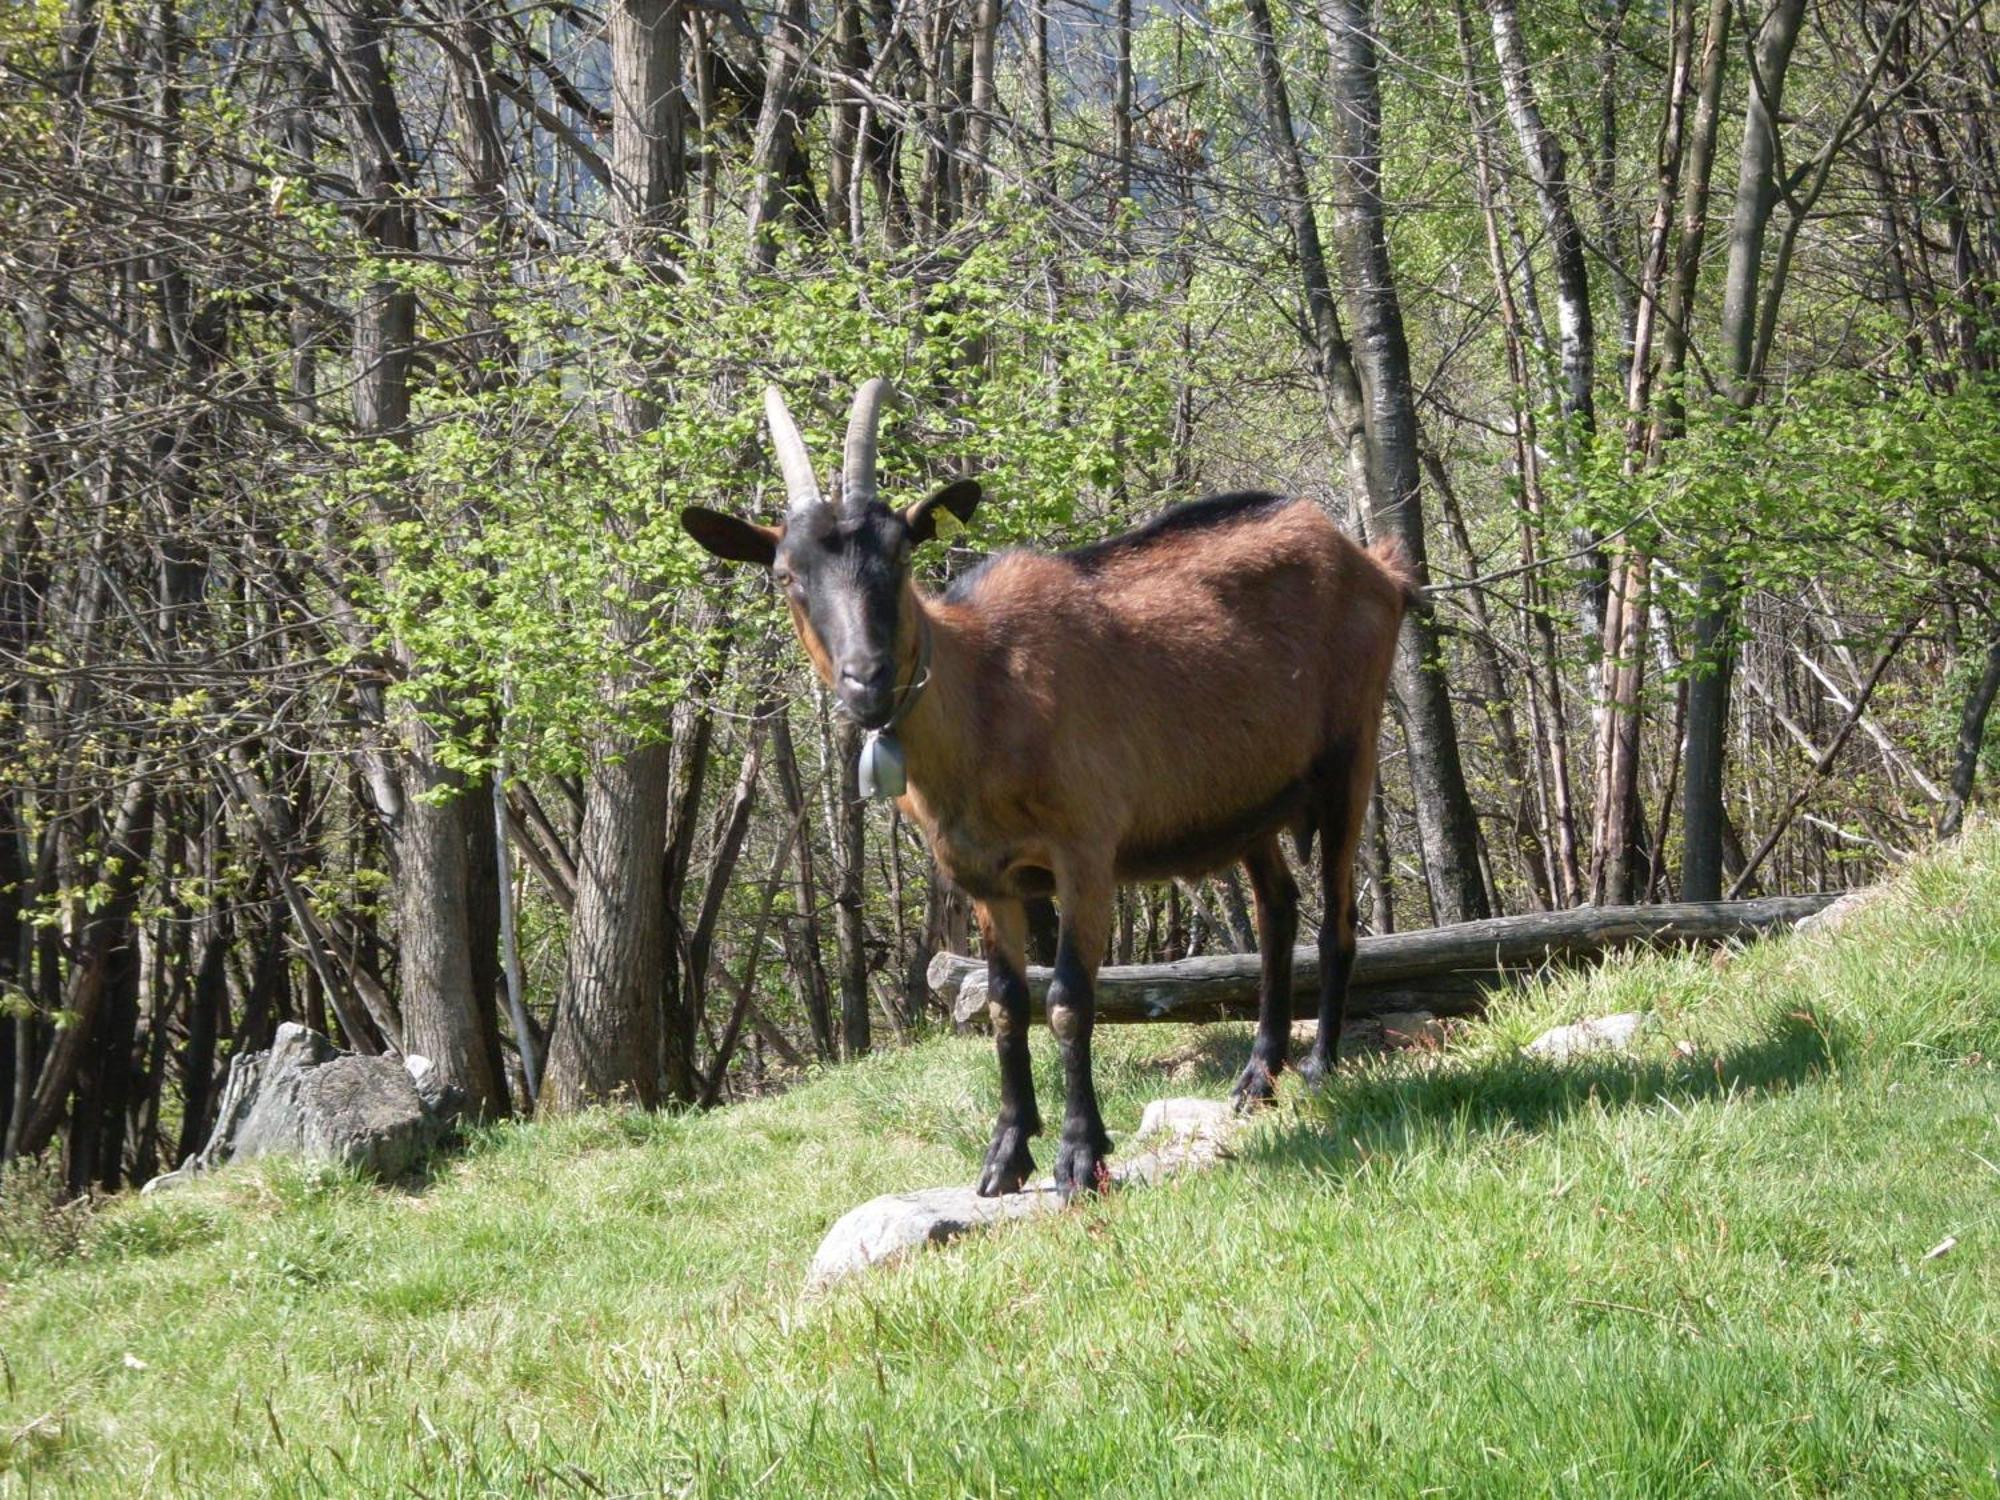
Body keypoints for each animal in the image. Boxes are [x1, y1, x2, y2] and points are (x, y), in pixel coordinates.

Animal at [688, 384, 1408, 1200]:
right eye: (785, 574)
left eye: (900, 554)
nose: (866, 680)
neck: (988, 694)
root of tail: (1375, 566)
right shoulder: (983, 877)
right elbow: (1005, 1006)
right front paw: (1005, 1154)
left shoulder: (1085, 853)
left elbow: (1067, 1000)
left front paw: (1079, 1154)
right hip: (1246, 801)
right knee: (1277, 911)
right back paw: (1257, 1076)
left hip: (1351, 753)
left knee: (1338, 918)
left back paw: (1319, 1067)